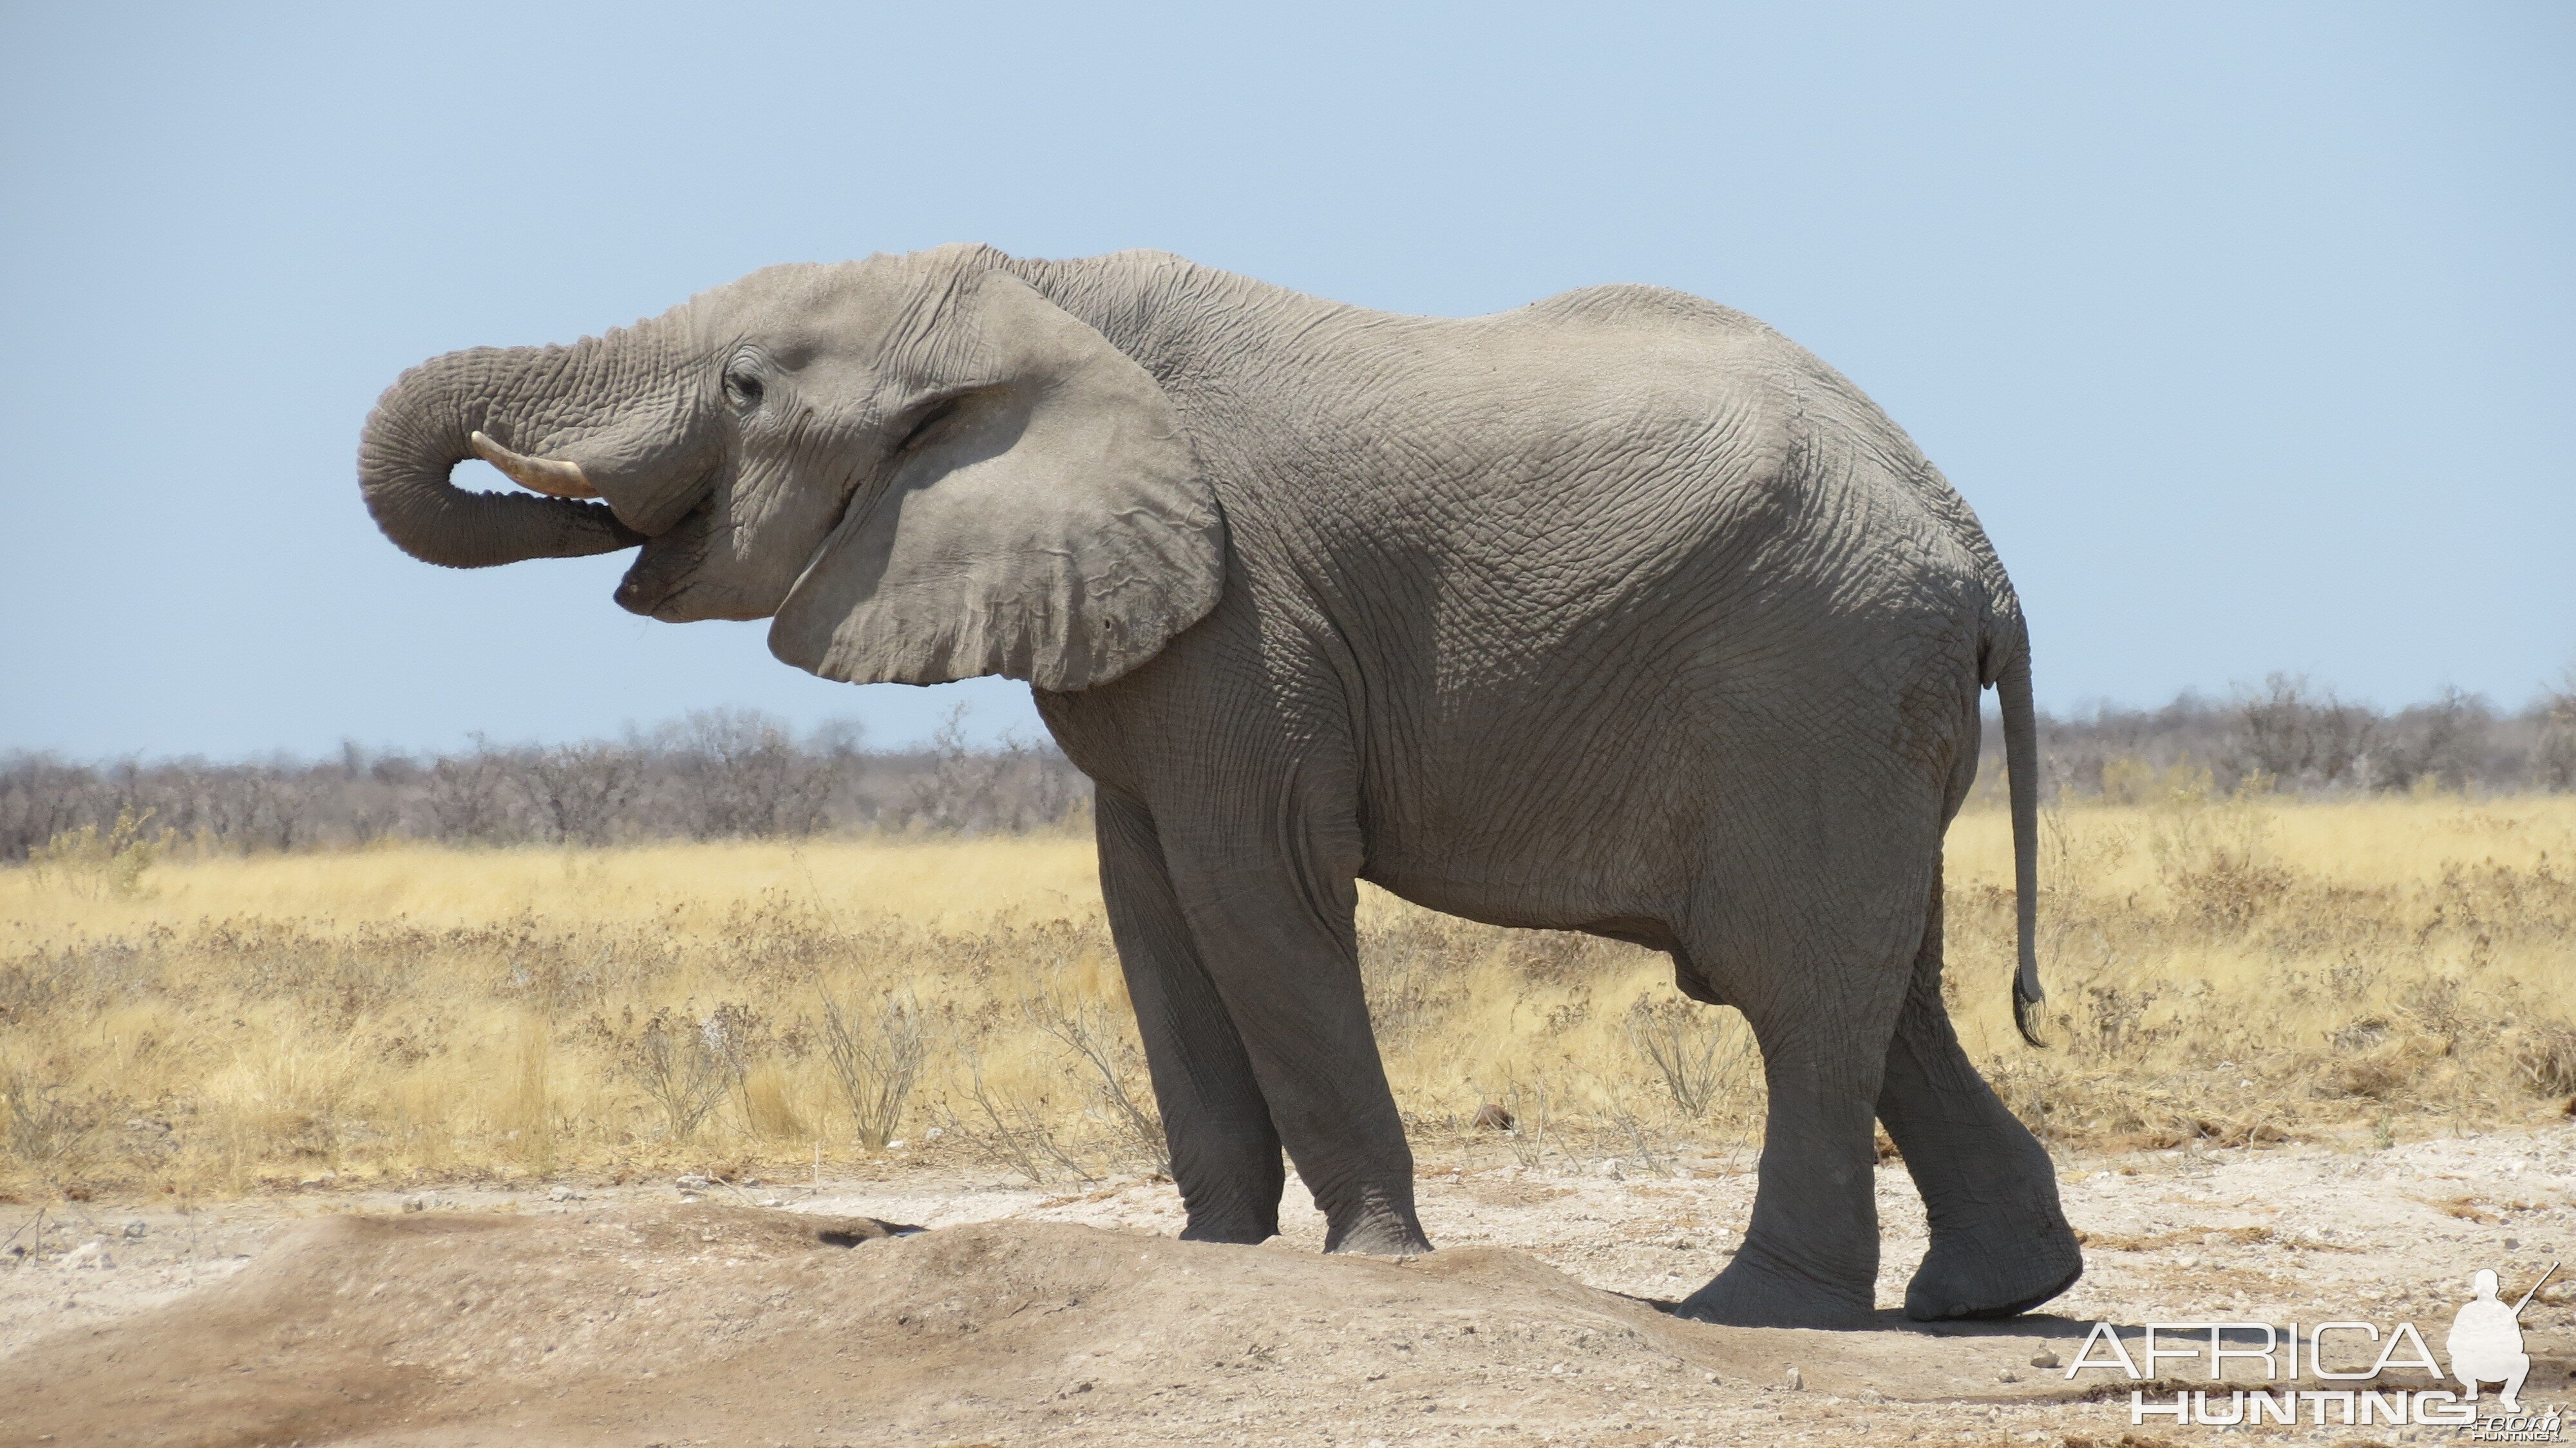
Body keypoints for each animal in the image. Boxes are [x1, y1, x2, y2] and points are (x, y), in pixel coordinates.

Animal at [363, 242, 2081, 1329]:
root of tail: (1979, 553)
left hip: (1810, 686)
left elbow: (1253, 885)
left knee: (1793, 987)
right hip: (1859, 715)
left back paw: (1744, 1310)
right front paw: (1215, 1249)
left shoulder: (1251, 610)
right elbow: (1147, 901)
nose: (579, 504)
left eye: (740, 390)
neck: (1037, 295)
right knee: (1883, 984)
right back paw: (1997, 1295)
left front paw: (1373, 1261)